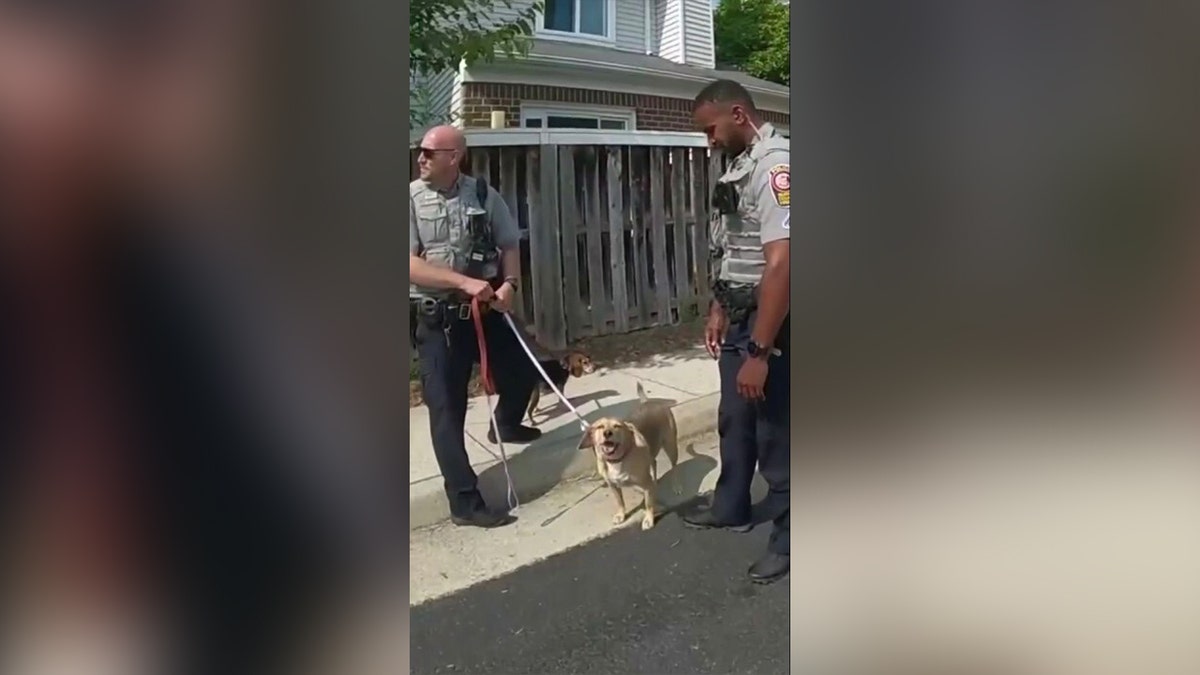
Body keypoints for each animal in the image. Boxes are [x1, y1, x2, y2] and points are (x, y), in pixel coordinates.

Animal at [576, 381, 681, 528]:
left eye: (617, 426)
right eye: (600, 427)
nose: (607, 433)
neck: (617, 460)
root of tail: (649, 401)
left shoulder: (646, 485)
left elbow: (648, 503)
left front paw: (649, 519)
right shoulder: (613, 485)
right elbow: (620, 501)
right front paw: (621, 515)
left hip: (670, 446)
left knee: (674, 467)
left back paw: (676, 485)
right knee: (653, 463)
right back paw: (655, 480)